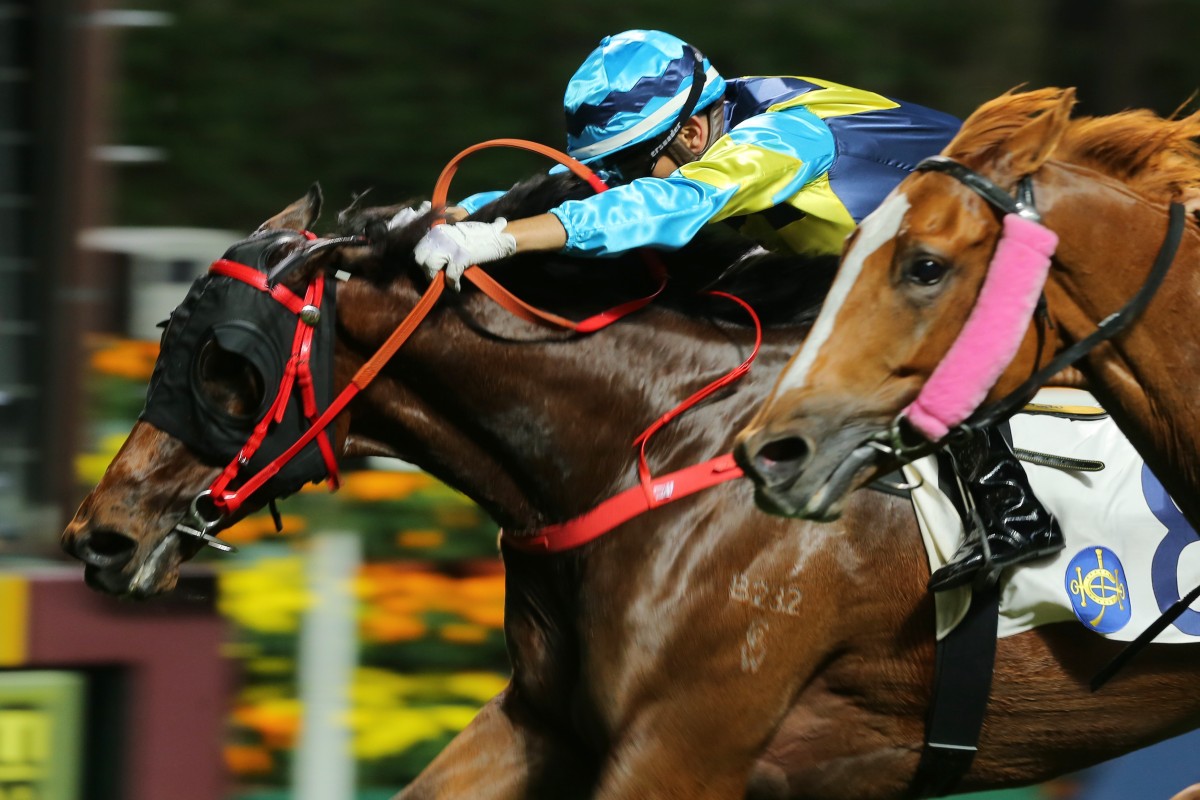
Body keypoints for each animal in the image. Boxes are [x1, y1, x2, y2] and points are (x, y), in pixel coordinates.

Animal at [60, 172, 1200, 796]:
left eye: (226, 363)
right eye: (168, 334)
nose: (100, 536)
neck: (650, 448)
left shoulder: (685, 744)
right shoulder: (548, 725)